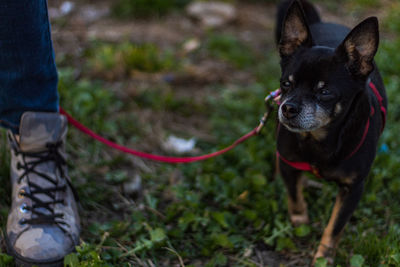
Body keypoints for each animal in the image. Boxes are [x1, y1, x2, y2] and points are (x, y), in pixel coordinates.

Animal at [276, 0, 388, 264]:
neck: (318, 141)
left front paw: (324, 257)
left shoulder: (353, 189)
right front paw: (300, 222)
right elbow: (293, 196)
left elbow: (335, 227)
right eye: (286, 84)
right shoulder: (287, 164)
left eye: (324, 92)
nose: (288, 107)